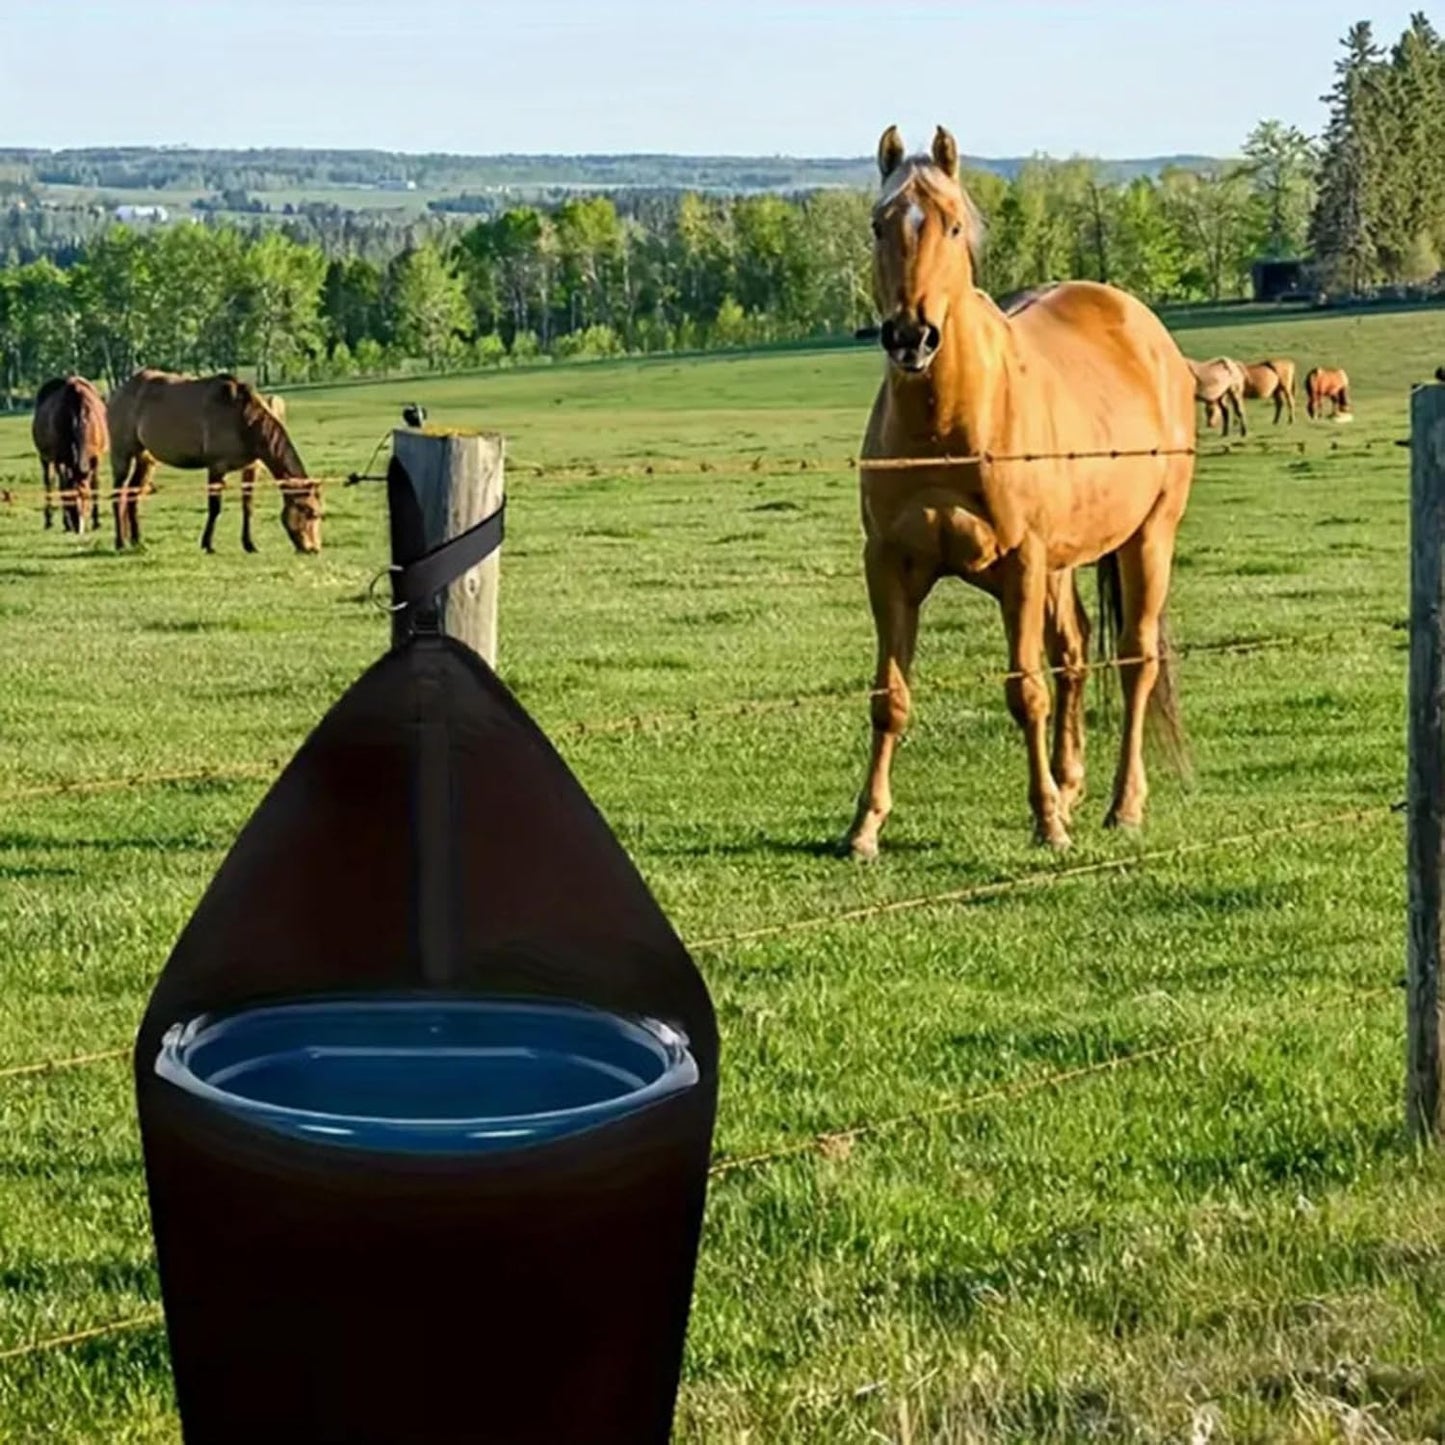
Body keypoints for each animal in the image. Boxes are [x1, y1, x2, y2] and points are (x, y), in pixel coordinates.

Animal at [31, 375, 109, 534]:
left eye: (86, 497)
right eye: (70, 499)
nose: (78, 527)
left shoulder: (96, 458)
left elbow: (95, 484)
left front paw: (96, 521)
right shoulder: (60, 459)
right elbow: (62, 487)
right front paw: (66, 522)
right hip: (45, 457)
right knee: (49, 482)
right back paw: (48, 520)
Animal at [106, 370, 322, 553]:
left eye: (319, 513)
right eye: (309, 511)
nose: (313, 549)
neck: (243, 419)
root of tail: (118, 392)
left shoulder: (251, 467)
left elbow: (248, 506)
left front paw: (249, 544)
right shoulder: (217, 467)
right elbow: (215, 507)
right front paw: (207, 545)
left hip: (146, 459)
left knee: (133, 493)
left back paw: (137, 541)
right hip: (122, 455)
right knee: (118, 494)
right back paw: (120, 542)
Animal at [845, 124, 1195, 856]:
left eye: (951, 224)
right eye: (878, 224)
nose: (910, 337)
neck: (946, 423)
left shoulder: (1021, 564)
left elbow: (1024, 689)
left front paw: (1046, 821)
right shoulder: (888, 565)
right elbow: (889, 697)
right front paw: (865, 826)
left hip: (1148, 537)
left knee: (1133, 660)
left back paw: (1123, 804)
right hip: (1063, 564)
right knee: (1075, 655)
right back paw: (1071, 784)